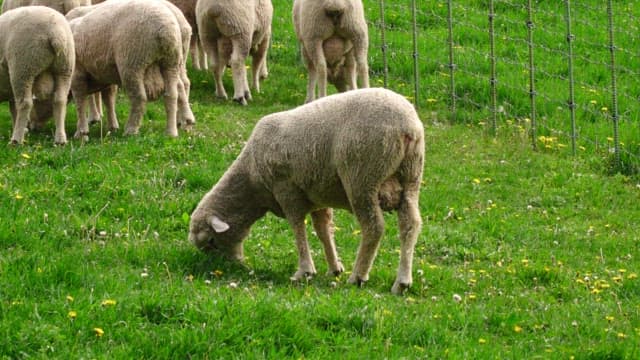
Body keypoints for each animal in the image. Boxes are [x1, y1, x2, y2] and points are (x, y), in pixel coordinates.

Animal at [0, 5, 74, 145]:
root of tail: (56, 33)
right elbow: (13, 109)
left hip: (23, 67)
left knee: (25, 103)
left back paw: (16, 140)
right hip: (65, 68)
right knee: (60, 100)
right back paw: (60, 139)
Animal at [68, 0, 192, 138]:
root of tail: (166, 29)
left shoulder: (78, 73)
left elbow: (81, 101)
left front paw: (81, 131)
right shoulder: (105, 74)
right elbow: (108, 99)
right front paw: (112, 126)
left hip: (132, 62)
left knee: (139, 97)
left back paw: (131, 130)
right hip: (171, 62)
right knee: (174, 92)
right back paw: (173, 130)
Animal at [190, 88, 424, 296]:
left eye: (211, 241)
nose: (229, 268)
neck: (251, 179)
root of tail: (408, 127)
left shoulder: (286, 189)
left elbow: (297, 226)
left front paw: (305, 271)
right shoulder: (317, 195)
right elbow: (323, 230)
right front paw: (334, 268)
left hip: (362, 177)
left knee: (373, 227)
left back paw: (358, 276)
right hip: (411, 177)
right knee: (410, 225)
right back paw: (402, 282)